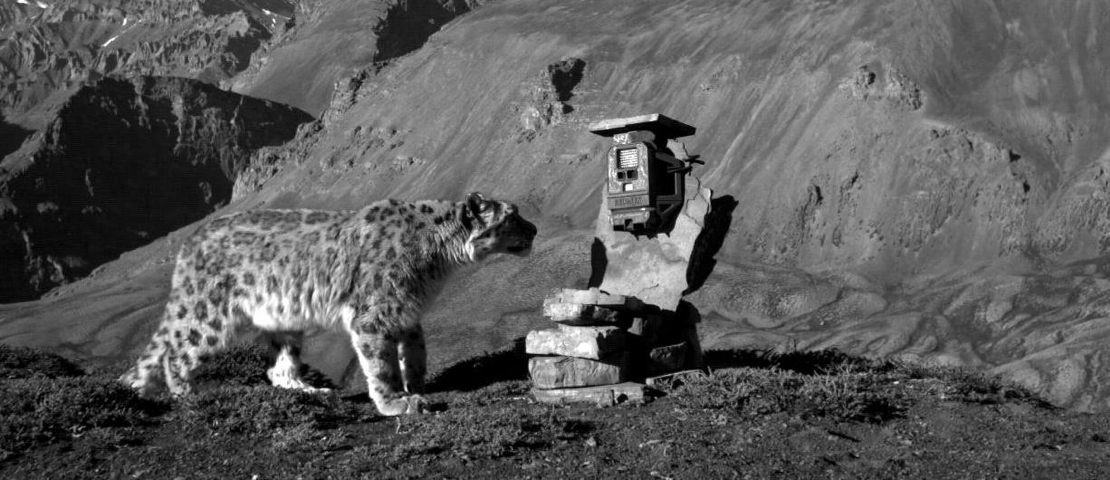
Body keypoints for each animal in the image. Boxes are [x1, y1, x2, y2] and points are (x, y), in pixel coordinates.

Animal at [120, 192, 537, 415]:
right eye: (512, 216)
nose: (534, 229)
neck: (439, 263)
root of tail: (191, 240)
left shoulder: (406, 313)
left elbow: (416, 353)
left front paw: (416, 387)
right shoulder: (373, 315)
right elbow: (381, 364)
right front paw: (393, 402)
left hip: (283, 322)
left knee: (277, 366)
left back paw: (307, 390)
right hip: (208, 315)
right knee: (177, 352)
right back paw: (190, 396)